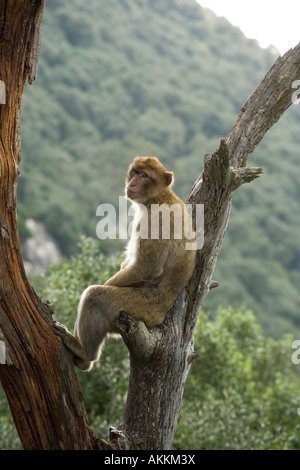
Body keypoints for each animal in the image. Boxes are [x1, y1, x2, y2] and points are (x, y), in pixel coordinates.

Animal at [54, 158, 197, 370]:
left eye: (144, 175)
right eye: (135, 172)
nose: (133, 182)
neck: (158, 198)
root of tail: (159, 315)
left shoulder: (157, 221)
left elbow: (147, 268)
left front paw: (105, 285)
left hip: (139, 308)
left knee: (94, 297)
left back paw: (85, 353)